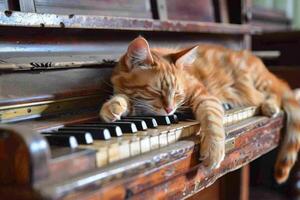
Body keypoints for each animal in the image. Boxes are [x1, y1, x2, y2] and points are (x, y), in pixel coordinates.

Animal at [100, 36, 300, 183]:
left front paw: (214, 150)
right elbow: (125, 99)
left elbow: (213, 122)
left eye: (178, 94)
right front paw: (113, 106)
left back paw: (270, 105)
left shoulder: (205, 97)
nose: (169, 110)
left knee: (279, 93)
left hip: (260, 82)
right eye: (156, 92)